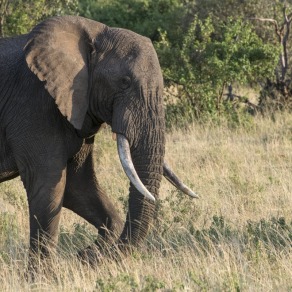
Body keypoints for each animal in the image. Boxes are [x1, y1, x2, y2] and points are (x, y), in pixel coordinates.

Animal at [0, 15, 198, 262]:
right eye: (124, 82)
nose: (81, 254)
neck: (94, 33)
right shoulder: (33, 106)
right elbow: (48, 189)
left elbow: (78, 188)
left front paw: (87, 257)